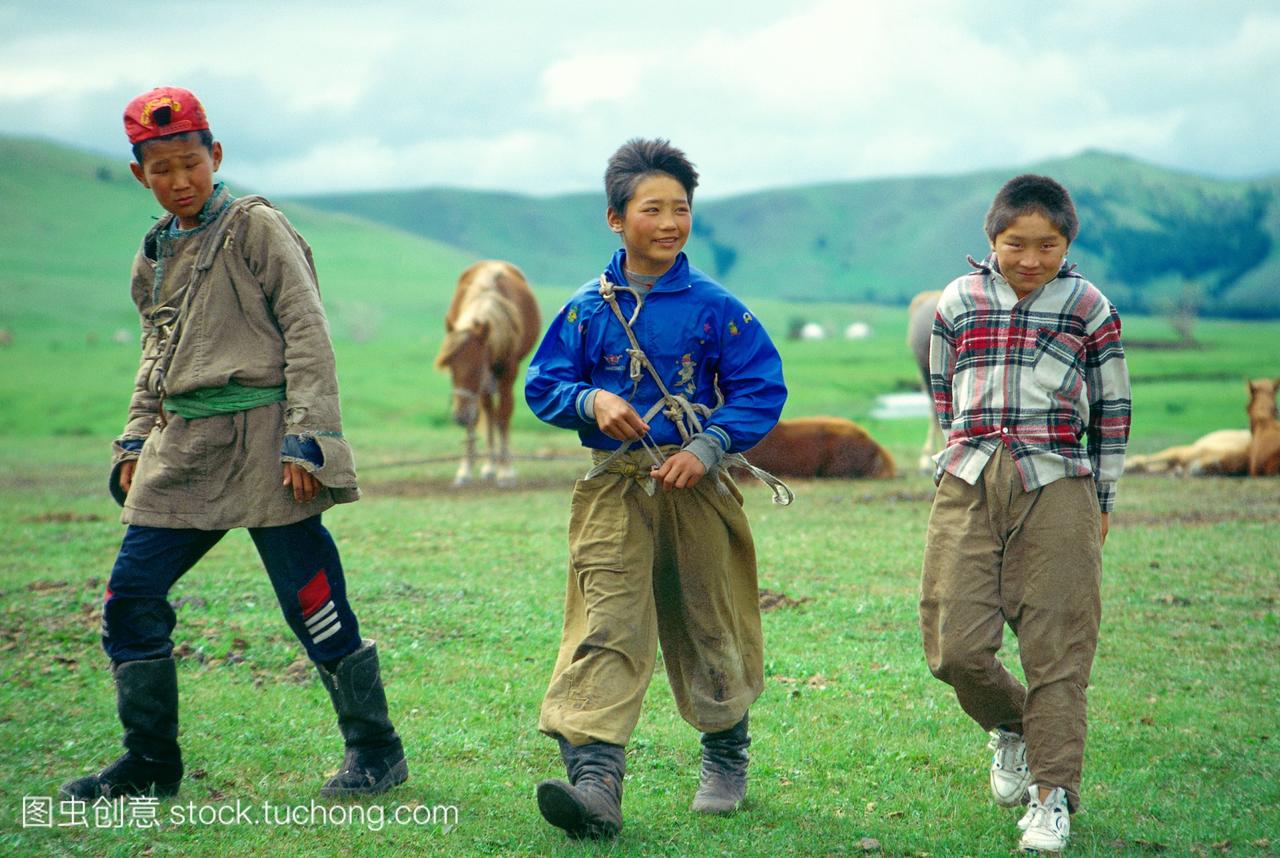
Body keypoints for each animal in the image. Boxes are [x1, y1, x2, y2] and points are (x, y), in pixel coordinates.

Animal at [435, 262, 540, 486]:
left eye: (476, 367)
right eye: (451, 368)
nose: (458, 417)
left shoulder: (507, 374)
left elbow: (504, 415)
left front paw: (506, 470)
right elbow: (477, 418)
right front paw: (465, 469)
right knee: (488, 412)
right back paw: (489, 466)